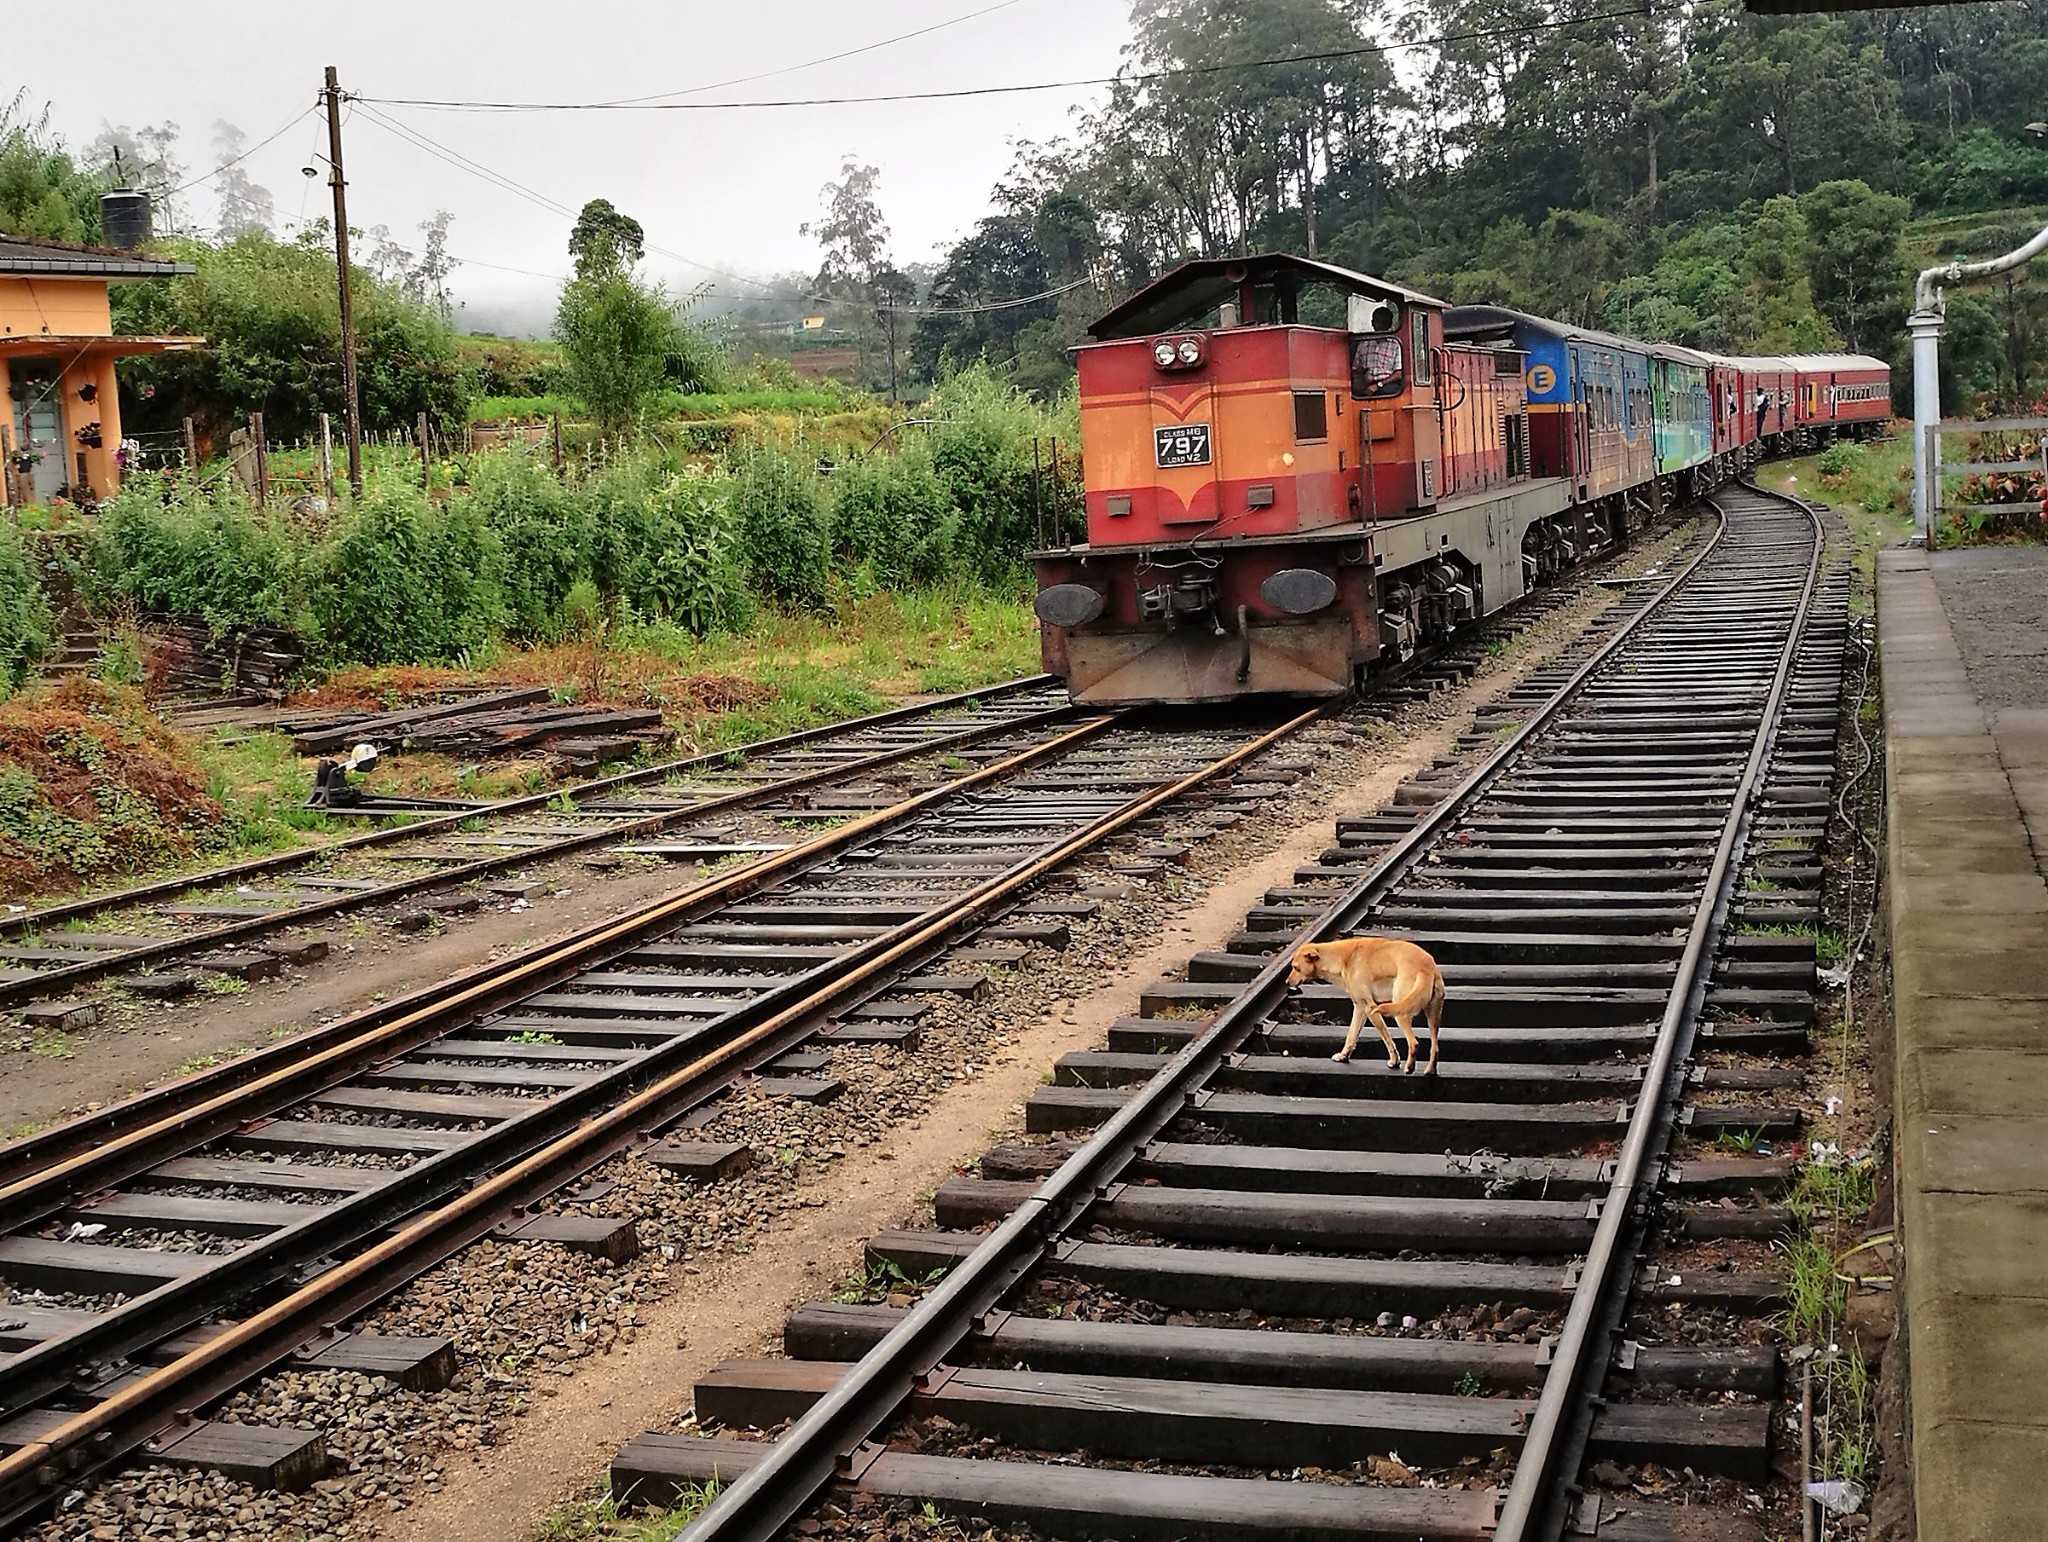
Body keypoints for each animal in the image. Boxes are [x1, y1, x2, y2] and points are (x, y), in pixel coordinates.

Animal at [1286, 937, 1449, 1073]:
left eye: (1295, 967)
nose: (1287, 982)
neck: (1343, 958)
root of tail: (1426, 969)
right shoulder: (1359, 1007)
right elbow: (1351, 1036)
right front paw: (1343, 1056)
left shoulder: (1369, 1008)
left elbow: (1387, 1038)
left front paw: (1394, 1061)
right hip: (1434, 1016)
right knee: (1435, 1048)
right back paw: (1430, 1070)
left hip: (1401, 1012)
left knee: (1414, 1042)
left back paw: (1409, 1067)